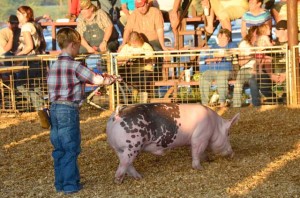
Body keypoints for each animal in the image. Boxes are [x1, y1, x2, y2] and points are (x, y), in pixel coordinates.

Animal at [105, 103, 239, 183]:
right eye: (228, 134)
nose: (233, 153)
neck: (214, 125)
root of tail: (117, 114)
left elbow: (200, 152)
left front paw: (207, 159)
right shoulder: (200, 137)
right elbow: (196, 152)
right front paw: (200, 168)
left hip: (119, 148)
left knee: (127, 164)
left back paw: (139, 177)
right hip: (132, 146)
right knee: (124, 163)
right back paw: (118, 180)